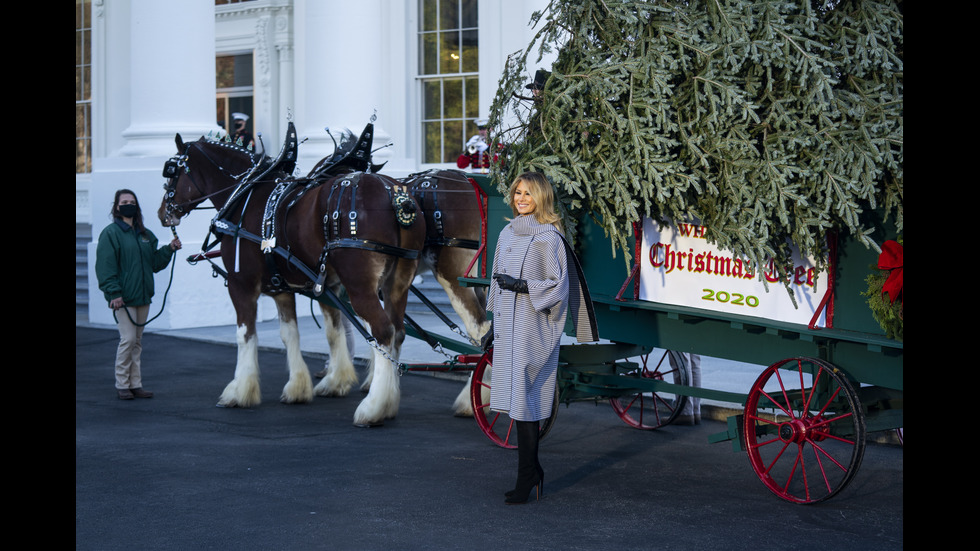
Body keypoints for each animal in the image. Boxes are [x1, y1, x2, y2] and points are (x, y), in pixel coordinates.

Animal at [159, 128, 424, 426]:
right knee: (397, 331)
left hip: (360, 286)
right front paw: (304, 386)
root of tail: (396, 195)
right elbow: (298, 334)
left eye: (171, 170)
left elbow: (245, 335)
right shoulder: (287, 288)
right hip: (396, 283)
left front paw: (239, 390)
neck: (246, 195)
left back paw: (374, 407)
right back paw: (388, 402)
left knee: (382, 331)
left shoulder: (242, 284)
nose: (162, 213)